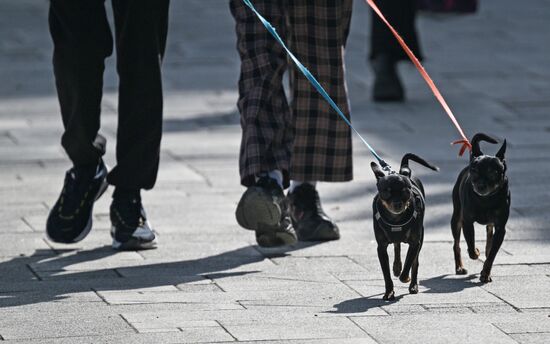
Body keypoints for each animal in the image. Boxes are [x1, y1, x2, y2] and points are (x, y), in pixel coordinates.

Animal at [370, 153, 440, 298]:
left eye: (405, 191)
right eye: (387, 191)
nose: (397, 203)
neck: (396, 220)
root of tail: (404, 170)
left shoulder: (415, 243)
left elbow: (410, 263)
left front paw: (405, 278)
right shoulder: (381, 247)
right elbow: (386, 273)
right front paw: (389, 292)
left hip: (421, 238)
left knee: (415, 262)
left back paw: (413, 285)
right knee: (397, 246)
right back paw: (397, 267)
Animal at [450, 132, 512, 282]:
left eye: (492, 172)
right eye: (474, 171)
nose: (480, 185)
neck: (486, 199)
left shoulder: (500, 228)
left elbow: (492, 255)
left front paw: (485, 273)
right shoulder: (467, 222)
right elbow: (471, 244)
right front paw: (476, 253)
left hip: (490, 223)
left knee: (489, 232)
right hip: (456, 219)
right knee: (456, 245)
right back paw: (459, 267)